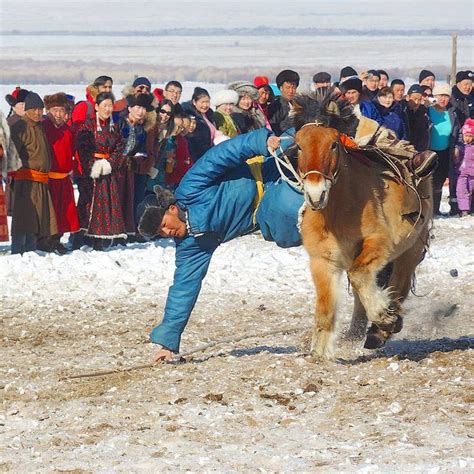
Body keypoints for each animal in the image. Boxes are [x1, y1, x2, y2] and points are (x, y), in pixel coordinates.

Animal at [288, 93, 434, 360]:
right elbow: (325, 310)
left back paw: (381, 328)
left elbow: (360, 275)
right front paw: (320, 353)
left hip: (410, 248)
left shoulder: (379, 242)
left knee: (398, 284)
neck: (339, 212)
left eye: (333, 144)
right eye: (300, 145)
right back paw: (359, 331)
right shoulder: (322, 260)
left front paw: (384, 317)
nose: (316, 194)